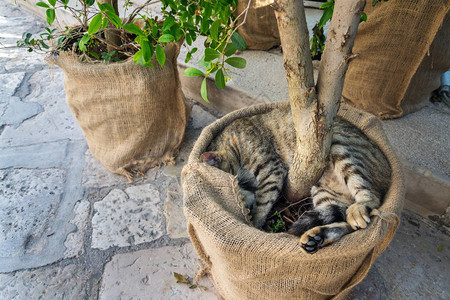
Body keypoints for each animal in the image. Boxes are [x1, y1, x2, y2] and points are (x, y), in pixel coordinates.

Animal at [200, 105, 390, 253]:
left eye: (241, 184)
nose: (244, 203)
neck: (234, 140)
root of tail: (387, 168)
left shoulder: (272, 169)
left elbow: (262, 204)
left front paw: (254, 224)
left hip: (339, 146)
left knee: (372, 199)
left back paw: (359, 208)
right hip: (321, 189)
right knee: (346, 223)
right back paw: (318, 236)